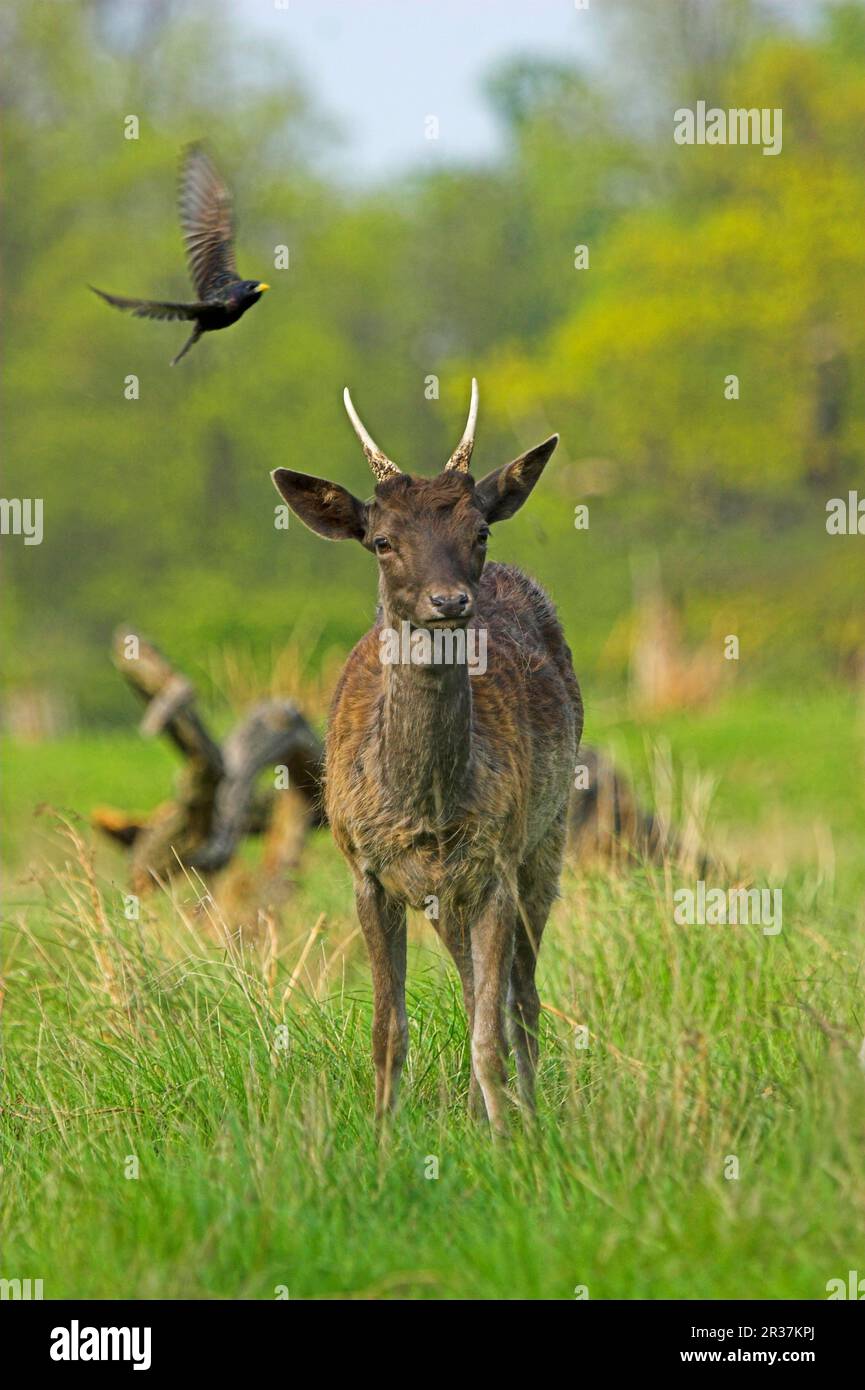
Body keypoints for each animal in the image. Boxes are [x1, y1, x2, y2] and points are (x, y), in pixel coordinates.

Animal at [273, 383, 586, 1128]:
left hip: (546, 838)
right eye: (382, 541)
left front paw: (510, 1141)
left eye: (479, 531)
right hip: (450, 894)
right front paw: (383, 1137)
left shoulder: (496, 860)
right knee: (478, 987)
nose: (449, 601)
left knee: (519, 999)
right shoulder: (365, 868)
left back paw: (524, 1112)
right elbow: (389, 1030)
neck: (427, 806)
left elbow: (491, 1029)